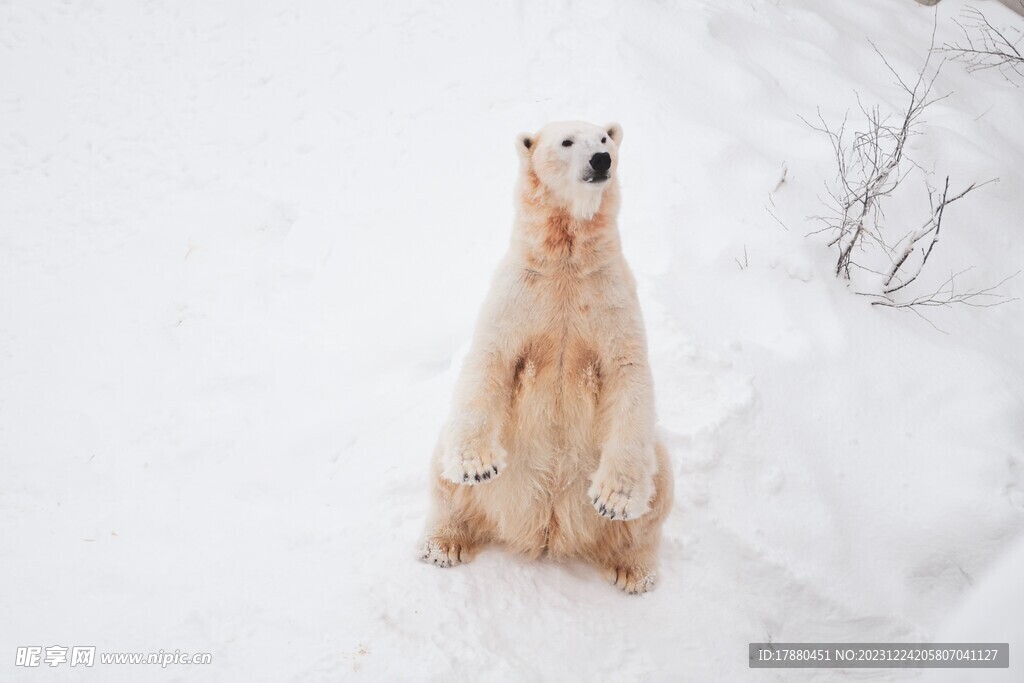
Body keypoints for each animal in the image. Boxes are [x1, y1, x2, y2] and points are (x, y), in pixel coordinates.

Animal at [421, 121, 671, 593]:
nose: (601, 161)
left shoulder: (609, 297)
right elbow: (490, 357)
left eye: (604, 139)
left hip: (652, 465)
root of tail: (546, 530)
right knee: (445, 476)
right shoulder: (520, 291)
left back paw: (633, 569)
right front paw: (478, 466)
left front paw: (613, 500)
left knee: (658, 490)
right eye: (567, 141)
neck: (565, 260)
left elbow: (628, 372)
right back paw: (443, 543)